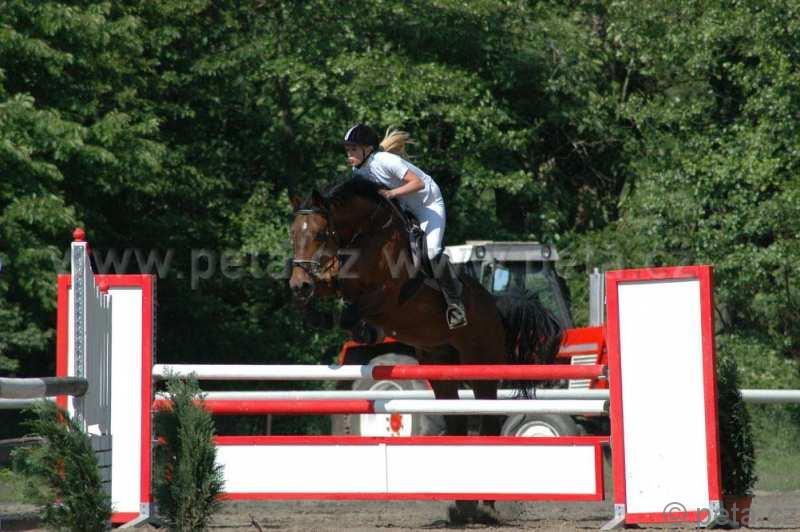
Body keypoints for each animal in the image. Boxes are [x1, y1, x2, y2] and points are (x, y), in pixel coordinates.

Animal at [289, 177, 563, 523]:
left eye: (321, 234)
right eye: (293, 234)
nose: (298, 285)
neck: (367, 232)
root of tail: (496, 308)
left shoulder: (385, 294)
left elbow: (354, 306)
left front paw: (357, 326)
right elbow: (331, 284)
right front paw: (310, 305)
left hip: (481, 366)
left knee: (488, 420)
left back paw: (486, 505)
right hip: (441, 366)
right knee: (458, 422)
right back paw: (462, 506)